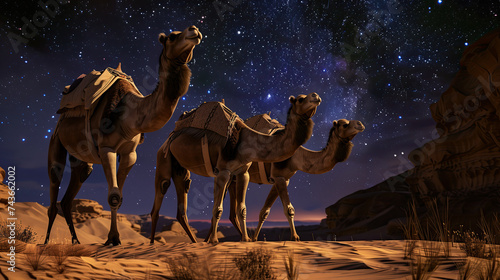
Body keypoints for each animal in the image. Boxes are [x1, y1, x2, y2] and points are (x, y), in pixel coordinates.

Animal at [44, 25, 202, 245]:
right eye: (171, 36)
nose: (194, 30)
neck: (129, 116)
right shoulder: (107, 149)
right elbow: (114, 196)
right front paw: (113, 239)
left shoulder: (130, 153)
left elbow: (119, 196)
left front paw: (113, 238)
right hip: (56, 138)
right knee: (54, 179)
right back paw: (46, 242)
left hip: (80, 157)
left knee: (72, 191)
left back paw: (76, 242)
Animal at [150, 92, 322, 243]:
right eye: (300, 99)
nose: (316, 96)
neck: (245, 141)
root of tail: (170, 136)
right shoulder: (223, 171)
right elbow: (217, 208)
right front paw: (215, 240)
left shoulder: (243, 173)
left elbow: (242, 209)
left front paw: (246, 239)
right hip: (163, 156)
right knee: (161, 192)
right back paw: (153, 244)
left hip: (180, 167)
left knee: (183, 199)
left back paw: (195, 242)